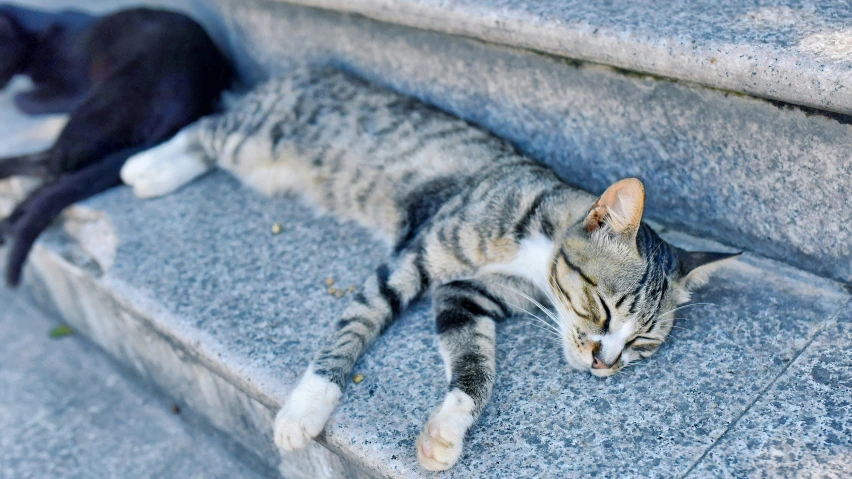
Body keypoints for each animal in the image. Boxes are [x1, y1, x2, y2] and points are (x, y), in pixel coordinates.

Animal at [0, 6, 233, 284]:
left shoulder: (72, 90)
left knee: (53, 166)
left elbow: (22, 100)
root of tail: (188, 95)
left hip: (96, 105)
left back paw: (12, 213)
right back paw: (14, 219)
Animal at [121, 68, 740, 472]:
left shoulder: (463, 295)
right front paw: (305, 408)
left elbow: (474, 367)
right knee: (206, 124)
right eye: (604, 307)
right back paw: (143, 169)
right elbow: (353, 326)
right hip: (257, 136)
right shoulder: (411, 261)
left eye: (642, 343)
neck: (532, 251)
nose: (604, 364)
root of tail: (304, 68)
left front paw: (445, 432)